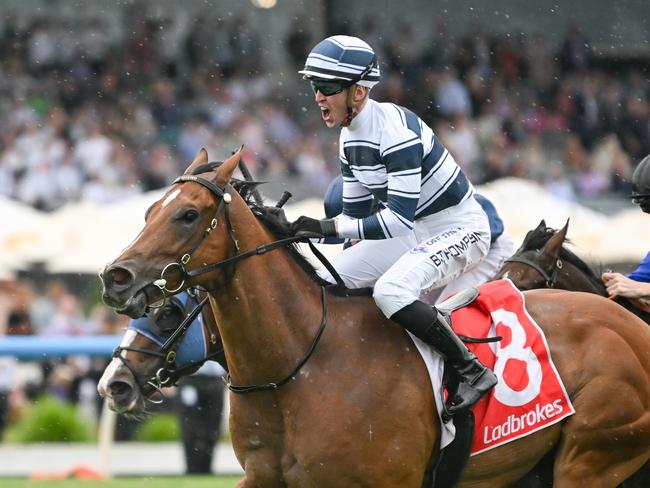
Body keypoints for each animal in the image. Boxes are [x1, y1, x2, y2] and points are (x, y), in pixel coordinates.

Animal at [98, 149, 648, 488]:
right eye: (149, 210)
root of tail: (634, 328)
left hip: (591, 458)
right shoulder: (264, 477)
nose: (114, 276)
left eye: (188, 214)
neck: (298, 365)